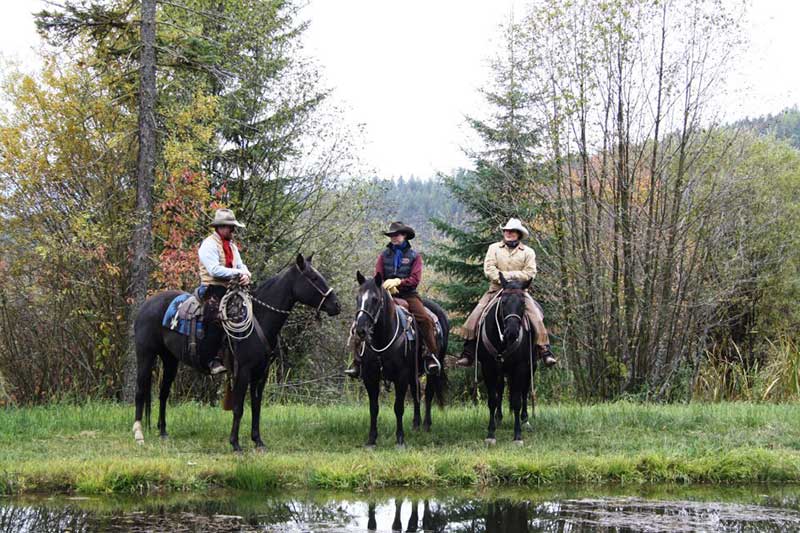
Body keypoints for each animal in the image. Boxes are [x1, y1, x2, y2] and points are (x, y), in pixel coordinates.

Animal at [133, 252, 340, 448]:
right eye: (313, 278)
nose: (337, 305)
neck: (258, 321)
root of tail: (146, 305)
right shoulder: (244, 371)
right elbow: (239, 407)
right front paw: (235, 443)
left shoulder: (261, 372)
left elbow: (256, 406)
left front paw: (258, 441)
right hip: (145, 355)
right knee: (141, 390)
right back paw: (139, 435)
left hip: (170, 359)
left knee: (163, 392)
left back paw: (163, 432)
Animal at [354, 270, 446, 448]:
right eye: (357, 298)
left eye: (375, 299)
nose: (360, 329)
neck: (383, 338)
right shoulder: (370, 376)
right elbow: (373, 408)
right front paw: (371, 439)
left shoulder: (401, 376)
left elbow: (398, 407)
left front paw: (400, 439)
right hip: (413, 372)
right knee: (416, 390)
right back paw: (416, 424)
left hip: (431, 370)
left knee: (428, 393)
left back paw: (426, 425)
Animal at [476, 272, 536, 442]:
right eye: (503, 302)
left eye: (523, 302)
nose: (512, 332)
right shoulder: (488, 367)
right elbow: (492, 399)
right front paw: (491, 433)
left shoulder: (520, 367)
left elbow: (516, 400)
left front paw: (517, 435)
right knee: (501, 389)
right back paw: (498, 417)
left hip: (531, 366)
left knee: (524, 391)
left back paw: (525, 420)